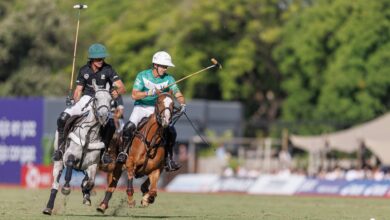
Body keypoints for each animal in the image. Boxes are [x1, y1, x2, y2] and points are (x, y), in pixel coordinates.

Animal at [43, 82, 112, 215]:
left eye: (111, 100)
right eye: (96, 99)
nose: (104, 116)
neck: (89, 134)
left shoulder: (93, 164)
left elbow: (91, 181)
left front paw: (86, 191)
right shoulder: (68, 155)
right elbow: (69, 163)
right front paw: (66, 188)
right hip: (58, 161)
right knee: (55, 183)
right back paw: (48, 208)